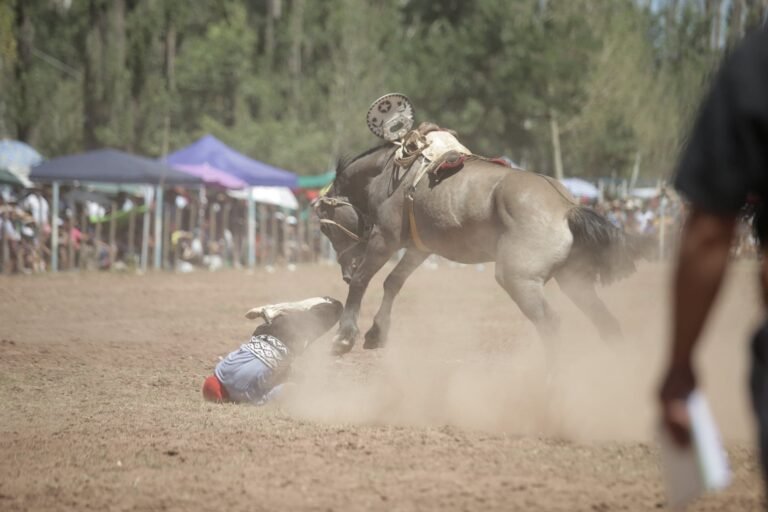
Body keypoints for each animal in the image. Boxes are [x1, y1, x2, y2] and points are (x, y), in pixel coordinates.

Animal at [314, 93, 648, 356]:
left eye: (326, 228)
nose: (344, 271)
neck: (390, 172)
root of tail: (567, 207)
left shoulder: (385, 239)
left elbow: (364, 280)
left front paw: (344, 337)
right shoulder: (421, 248)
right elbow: (393, 282)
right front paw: (376, 333)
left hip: (519, 280)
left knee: (552, 325)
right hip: (573, 279)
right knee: (605, 322)